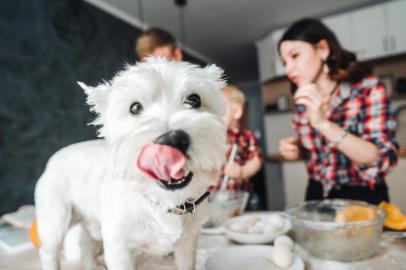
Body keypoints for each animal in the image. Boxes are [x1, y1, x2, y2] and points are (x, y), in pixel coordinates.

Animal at [33, 58, 227, 270]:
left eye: (194, 100)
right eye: (135, 108)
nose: (172, 140)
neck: (163, 200)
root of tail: (54, 157)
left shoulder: (188, 243)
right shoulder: (119, 249)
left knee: (85, 242)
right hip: (55, 221)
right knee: (49, 252)